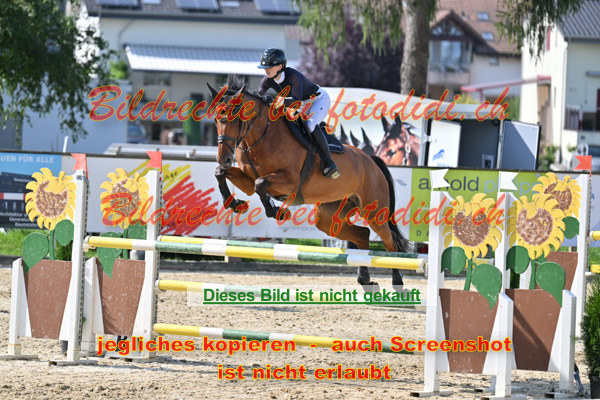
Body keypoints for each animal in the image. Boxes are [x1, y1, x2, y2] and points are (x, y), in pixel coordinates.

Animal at [209, 76, 411, 291]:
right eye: (215, 120)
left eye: (233, 117)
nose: (224, 158)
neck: (262, 137)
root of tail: (371, 161)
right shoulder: (248, 181)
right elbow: (222, 174)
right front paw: (235, 204)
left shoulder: (289, 183)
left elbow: (261, 184)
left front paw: (278, 212)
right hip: (329, 216)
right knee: (362, 235)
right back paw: (364, 279)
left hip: (374, 210)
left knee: (390, 241)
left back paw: (397, 282)